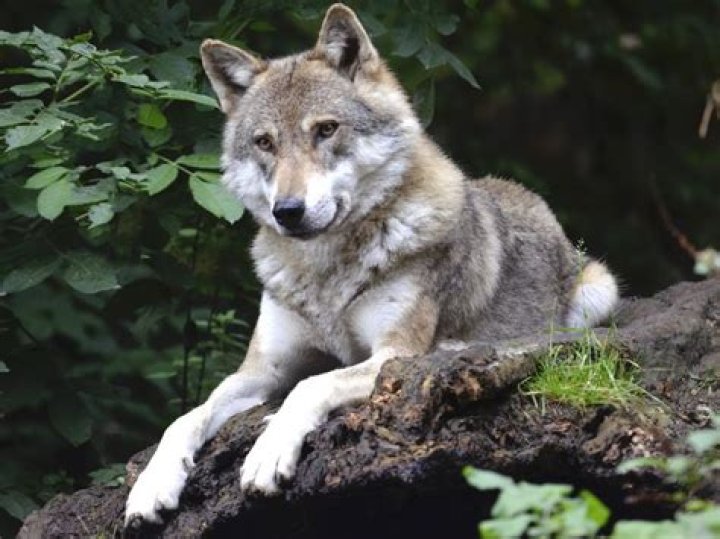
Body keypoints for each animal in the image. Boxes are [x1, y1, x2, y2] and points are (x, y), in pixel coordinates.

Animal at [125, 3, 618, 526]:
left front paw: (267, 453)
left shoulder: (390, 354)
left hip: (598, 290)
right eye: (264, 143)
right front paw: (151, 486)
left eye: (325, 129)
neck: (325, 274)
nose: (288, 211)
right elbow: (186, 417)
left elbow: (310, 386)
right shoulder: (261, 370)